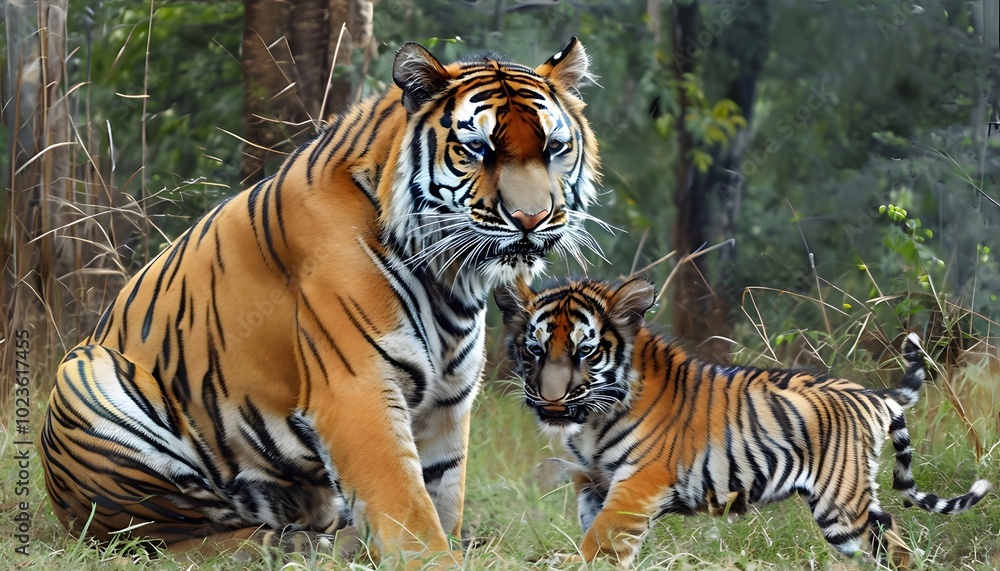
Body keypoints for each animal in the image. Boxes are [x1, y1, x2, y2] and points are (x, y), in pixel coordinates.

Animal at [37, 38, 601, 564]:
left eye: (554, 147)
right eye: (477, 149)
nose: (532, 219)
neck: (450, 277)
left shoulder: (449, 400)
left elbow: (441, 493)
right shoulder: (356, 389)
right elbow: (406, 506)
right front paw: (432, 559)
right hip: (83, 375)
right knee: (166, 538)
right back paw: (293, 547)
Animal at [495, 277, 991, 569]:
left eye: (585, 351)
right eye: (535, 349)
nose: (550, 399)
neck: (592, 420)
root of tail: (872, 393)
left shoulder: (638, 481)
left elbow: (601, 537)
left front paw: (574, 561)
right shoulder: (592, 482)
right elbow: (595, 531)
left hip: (842, 503)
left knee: (897, 544)